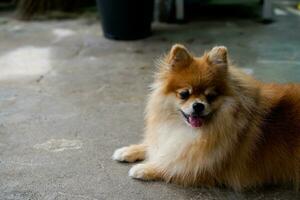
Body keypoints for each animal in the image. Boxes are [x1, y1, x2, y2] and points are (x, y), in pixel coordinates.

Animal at [112, 44, 300, 190]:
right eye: (184, 94)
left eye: (211, 96)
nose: (198, 105)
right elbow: (156, 146)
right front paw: (127, 151)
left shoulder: (205, 167)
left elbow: (172, 165)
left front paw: (144, 169)